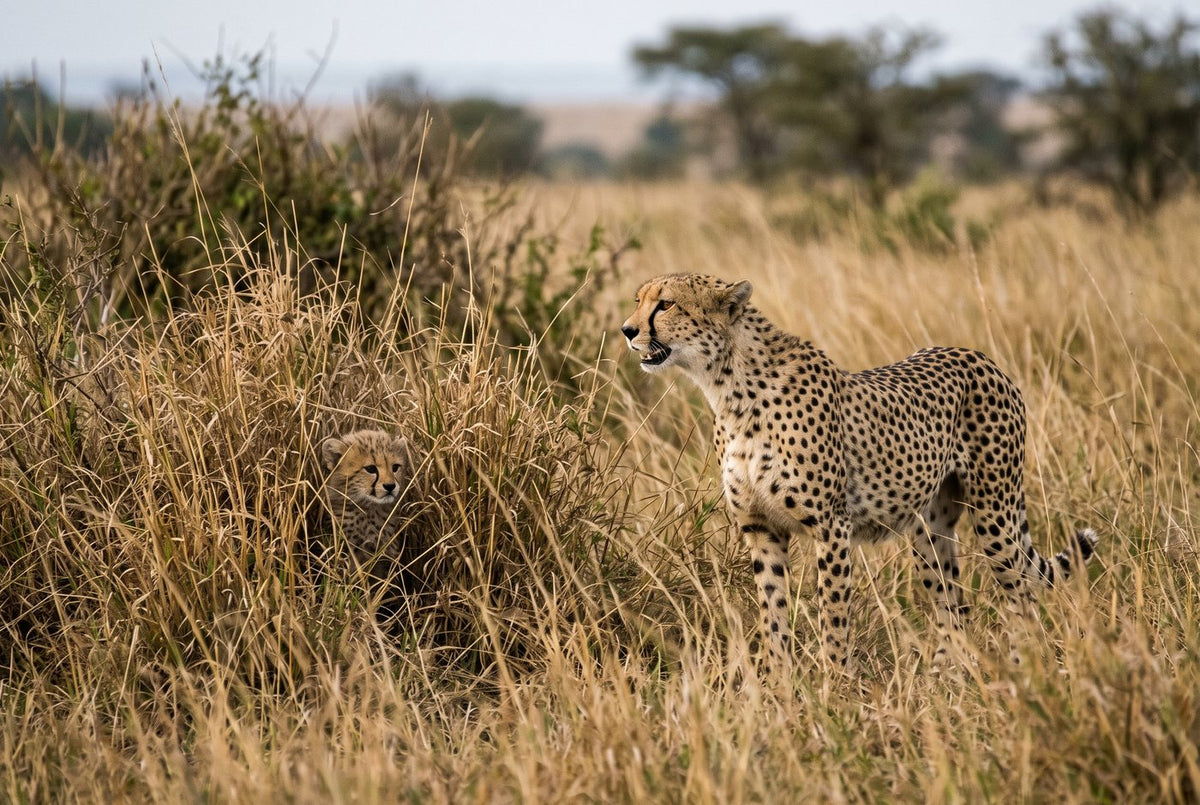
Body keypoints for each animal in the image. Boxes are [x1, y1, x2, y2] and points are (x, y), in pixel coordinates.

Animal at [621, 272, 1098, 679]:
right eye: (638, 300)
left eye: (666, 304)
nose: (627, 330)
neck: (729, 387)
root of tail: (978, 355)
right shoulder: (760, 527)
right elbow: (773, 610)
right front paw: (778, 685)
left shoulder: (831, 524)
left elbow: (832, 612)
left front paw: (837, 687)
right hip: (929, 529)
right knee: (953, 603)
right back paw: (943, 677)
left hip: (994, 512)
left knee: (1022, 595)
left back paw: (1024, 671)